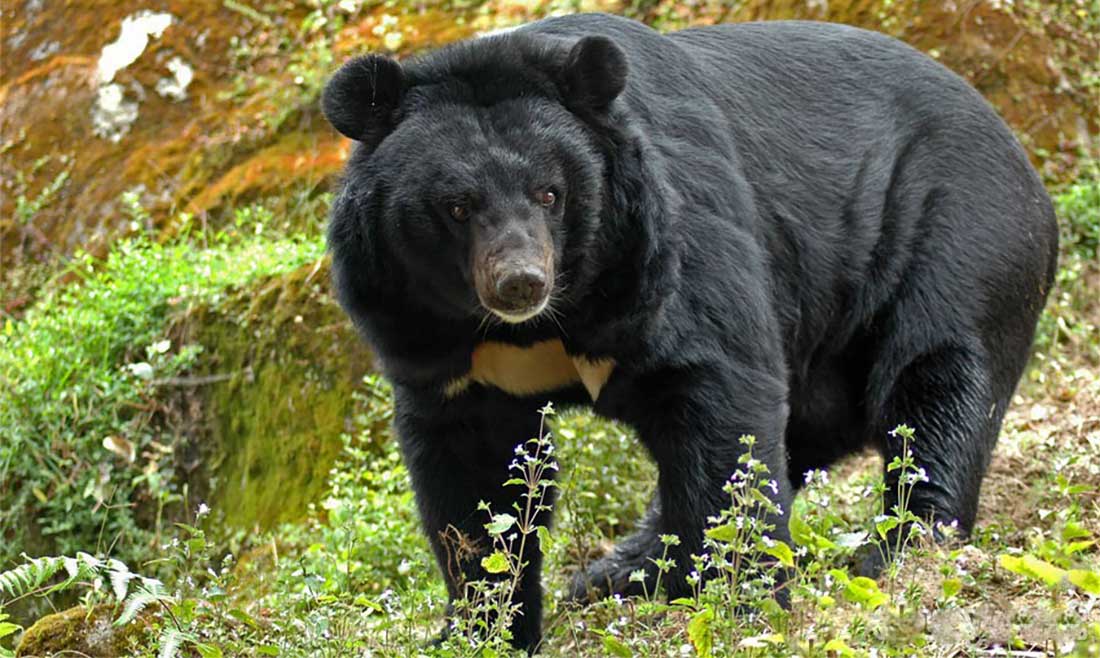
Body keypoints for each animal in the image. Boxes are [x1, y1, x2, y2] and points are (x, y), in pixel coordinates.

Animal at [321, 12, 1056, 655]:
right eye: (456, 206)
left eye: (550, 193)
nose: (519, 283)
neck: (543, 325)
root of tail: (1023, 156)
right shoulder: (423, 330)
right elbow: (473, 488)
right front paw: (482, 630)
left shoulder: (667, 247)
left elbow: (722, 401)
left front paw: (743, 606)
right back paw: (620, 569)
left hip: (959, 236)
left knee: (936, 386)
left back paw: (897, 549)